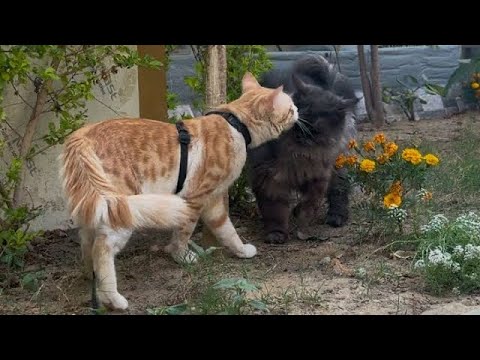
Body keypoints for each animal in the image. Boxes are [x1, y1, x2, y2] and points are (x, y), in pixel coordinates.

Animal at [59, 72, 298, 310]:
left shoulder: (213, 203)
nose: (298, 110)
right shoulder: (195, 198)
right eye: (290, 107)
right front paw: (180, 256)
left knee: (87, 243)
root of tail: (83, 134)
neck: (235, 125)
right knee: (102, 248)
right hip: (122, 209)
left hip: (98, 209)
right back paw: (113, 298)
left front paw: (240, 251)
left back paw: (91, 278)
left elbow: (226, 230)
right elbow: (184, 232)